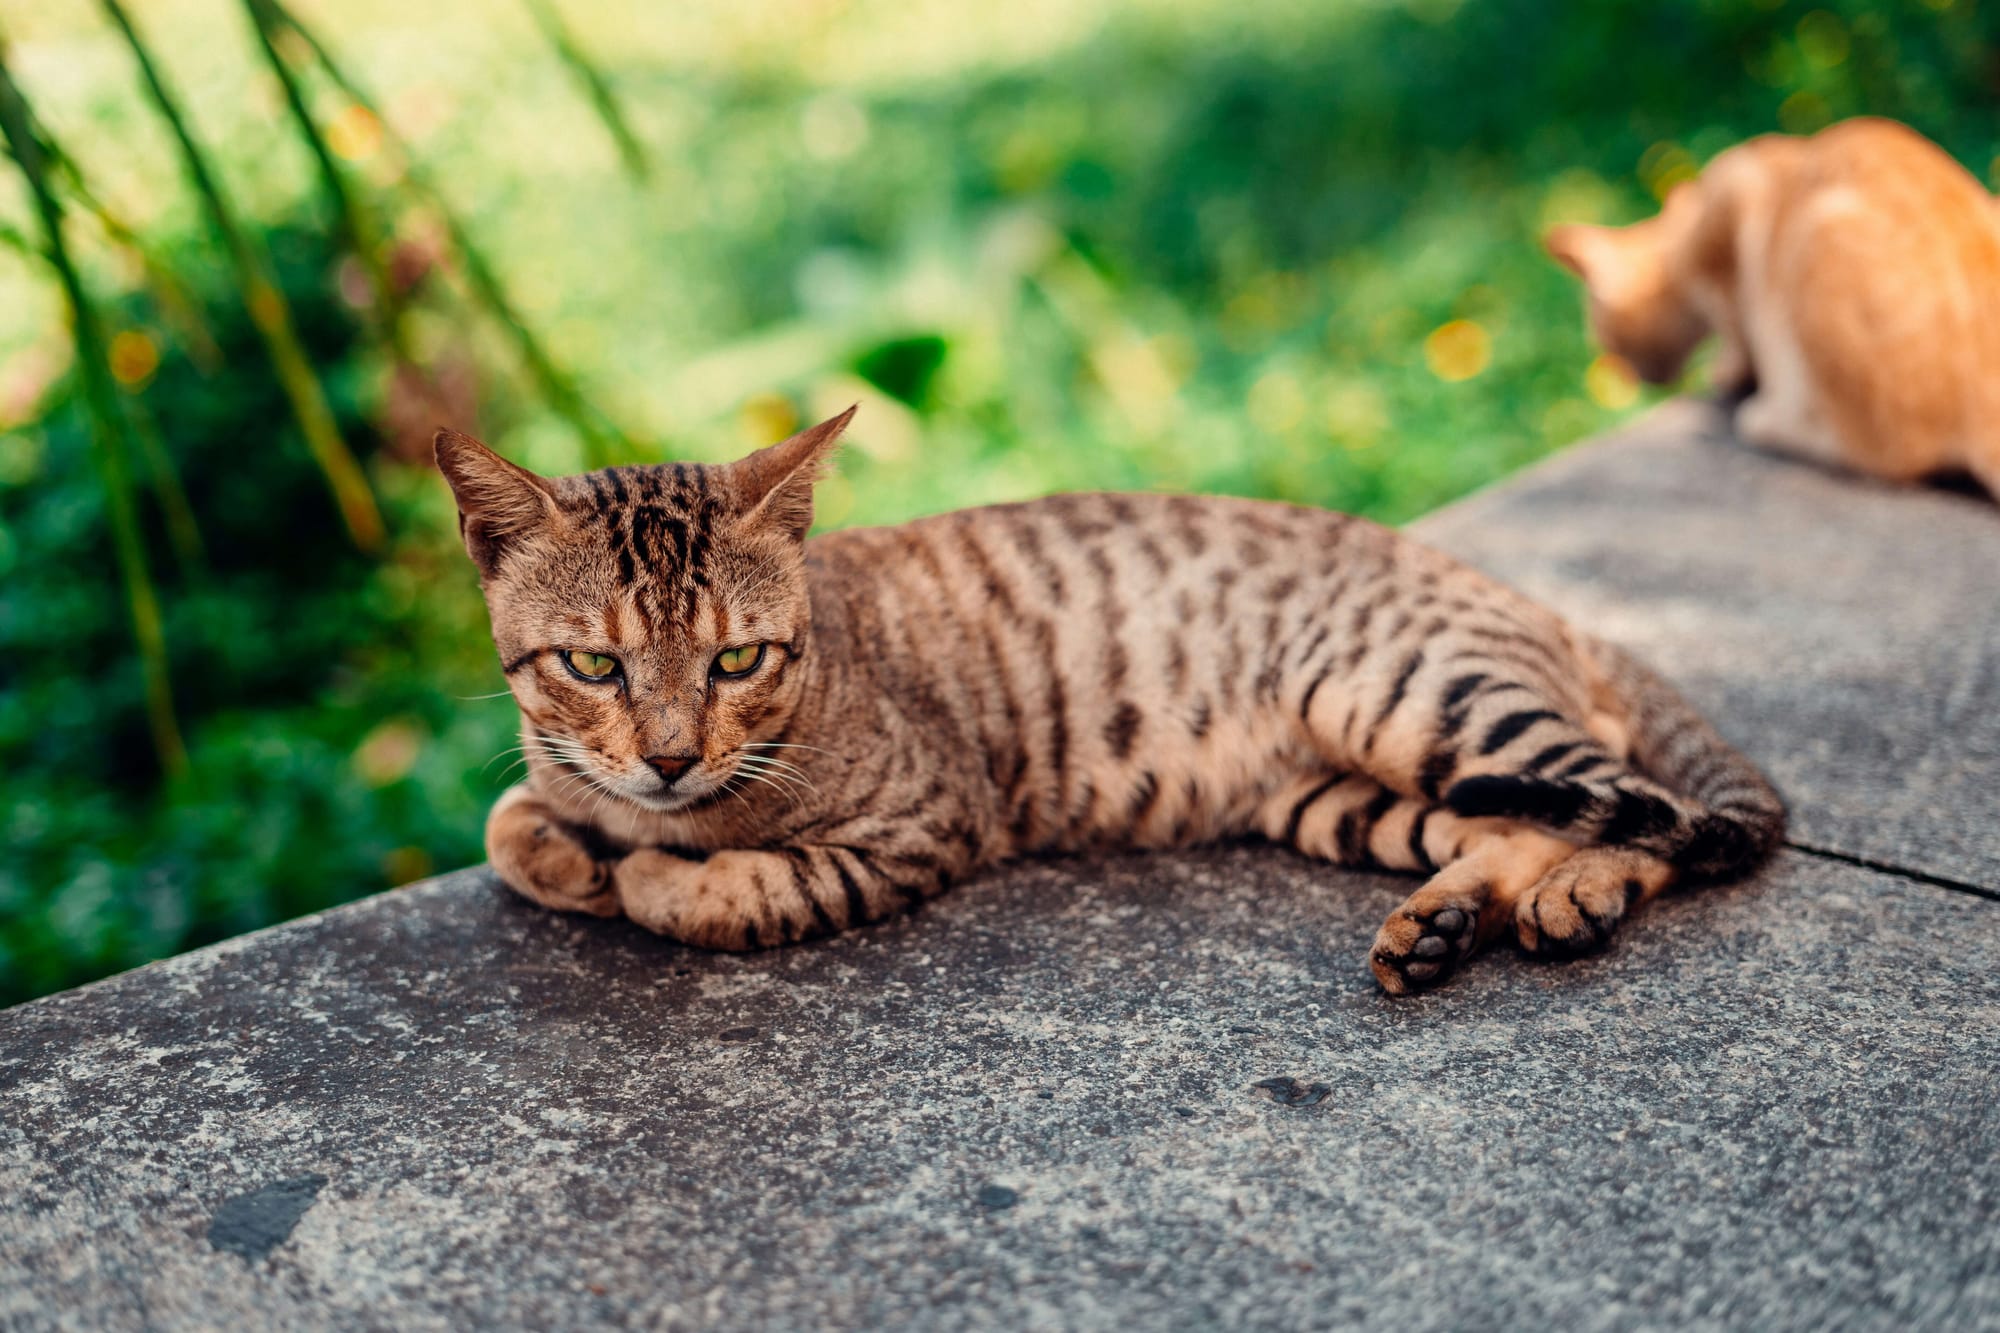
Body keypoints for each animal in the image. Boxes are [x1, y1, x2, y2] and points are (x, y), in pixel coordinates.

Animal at [438, 410, 1784, 992]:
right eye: (593, 667)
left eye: (735, 661)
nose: (668, 758)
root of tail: (1534, 600)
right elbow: (512, 824)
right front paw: (570, 845)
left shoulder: (923, 824)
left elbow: (716, 891)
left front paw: (635, 871)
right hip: (1350, 796)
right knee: (1522, 820)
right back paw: (1443, 923)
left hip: (1408, 693)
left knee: (1640, 806)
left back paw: (1577, 895)